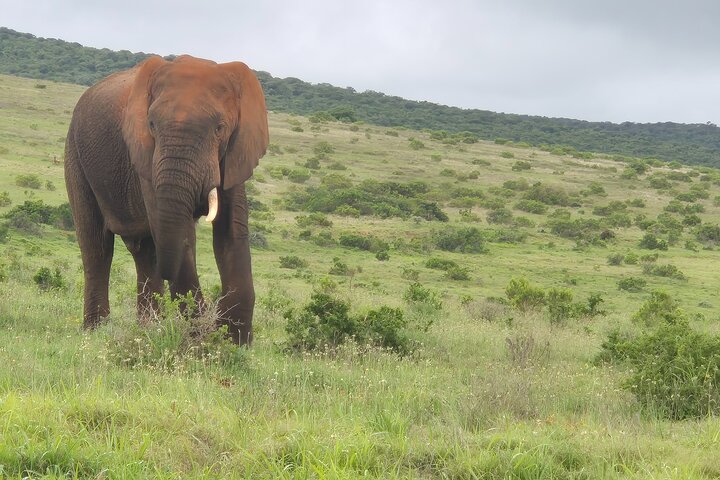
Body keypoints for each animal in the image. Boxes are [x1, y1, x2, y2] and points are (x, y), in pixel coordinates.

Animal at [64, 55, 269, 344]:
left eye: (220, 128)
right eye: (152, 125)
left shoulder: (236, 152)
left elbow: (232, 229)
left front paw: (233, 342)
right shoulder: (145, 156)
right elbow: (179, 235)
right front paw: (200, 341)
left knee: (145, 252)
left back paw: (147, 329)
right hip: (75, 155)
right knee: (97, 247)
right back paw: (96, 333)